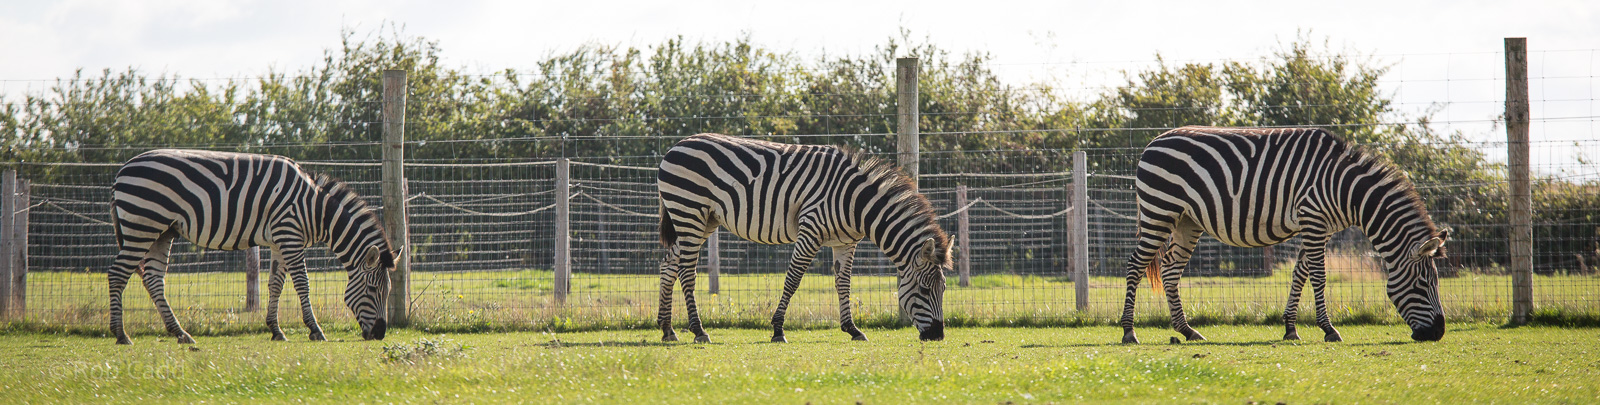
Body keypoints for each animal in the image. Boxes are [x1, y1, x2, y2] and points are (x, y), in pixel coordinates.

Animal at [108, 149, 400, 344]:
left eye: (387, 290)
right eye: (373, 289)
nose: (380, 335)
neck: (313, 210)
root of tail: (122, 170)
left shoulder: (281, 241)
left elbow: (275, 285)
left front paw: (275, 330)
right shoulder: (290, 236)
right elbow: (302, 283)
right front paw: (315, 330)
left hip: (162, 232)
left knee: (154, 280)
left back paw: (180, 333)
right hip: (142, 226)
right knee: (118, 274)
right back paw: (121, 334)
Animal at [655, 134, 951, 343]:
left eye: (944, 290)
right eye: (925, 290)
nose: (937, 336)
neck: (856, 203)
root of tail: (676, 145)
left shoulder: (845, 242)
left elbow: (843, 284)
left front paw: (852, 329)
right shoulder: (811, 229)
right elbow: (793, 279)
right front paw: (777, 329)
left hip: (703, 219)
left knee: (669, 264)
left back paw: (668, 330)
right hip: (689, 211)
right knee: (687, 271)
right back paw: (698, 330)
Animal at [1119, 126, 1449, 344]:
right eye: (1424, 283)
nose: (1438, 333)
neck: (1344, 188)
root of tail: (1153, 142)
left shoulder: (1318, 226)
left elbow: (1300, 273)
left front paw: (1291, 328)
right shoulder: (1313, 219)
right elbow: (1318, 275)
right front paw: (1329, 329)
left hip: (1187, 221)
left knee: (1170, 269)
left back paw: (1186, 330)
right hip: (1159, 210)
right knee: (1135, 265)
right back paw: (1129, 331)